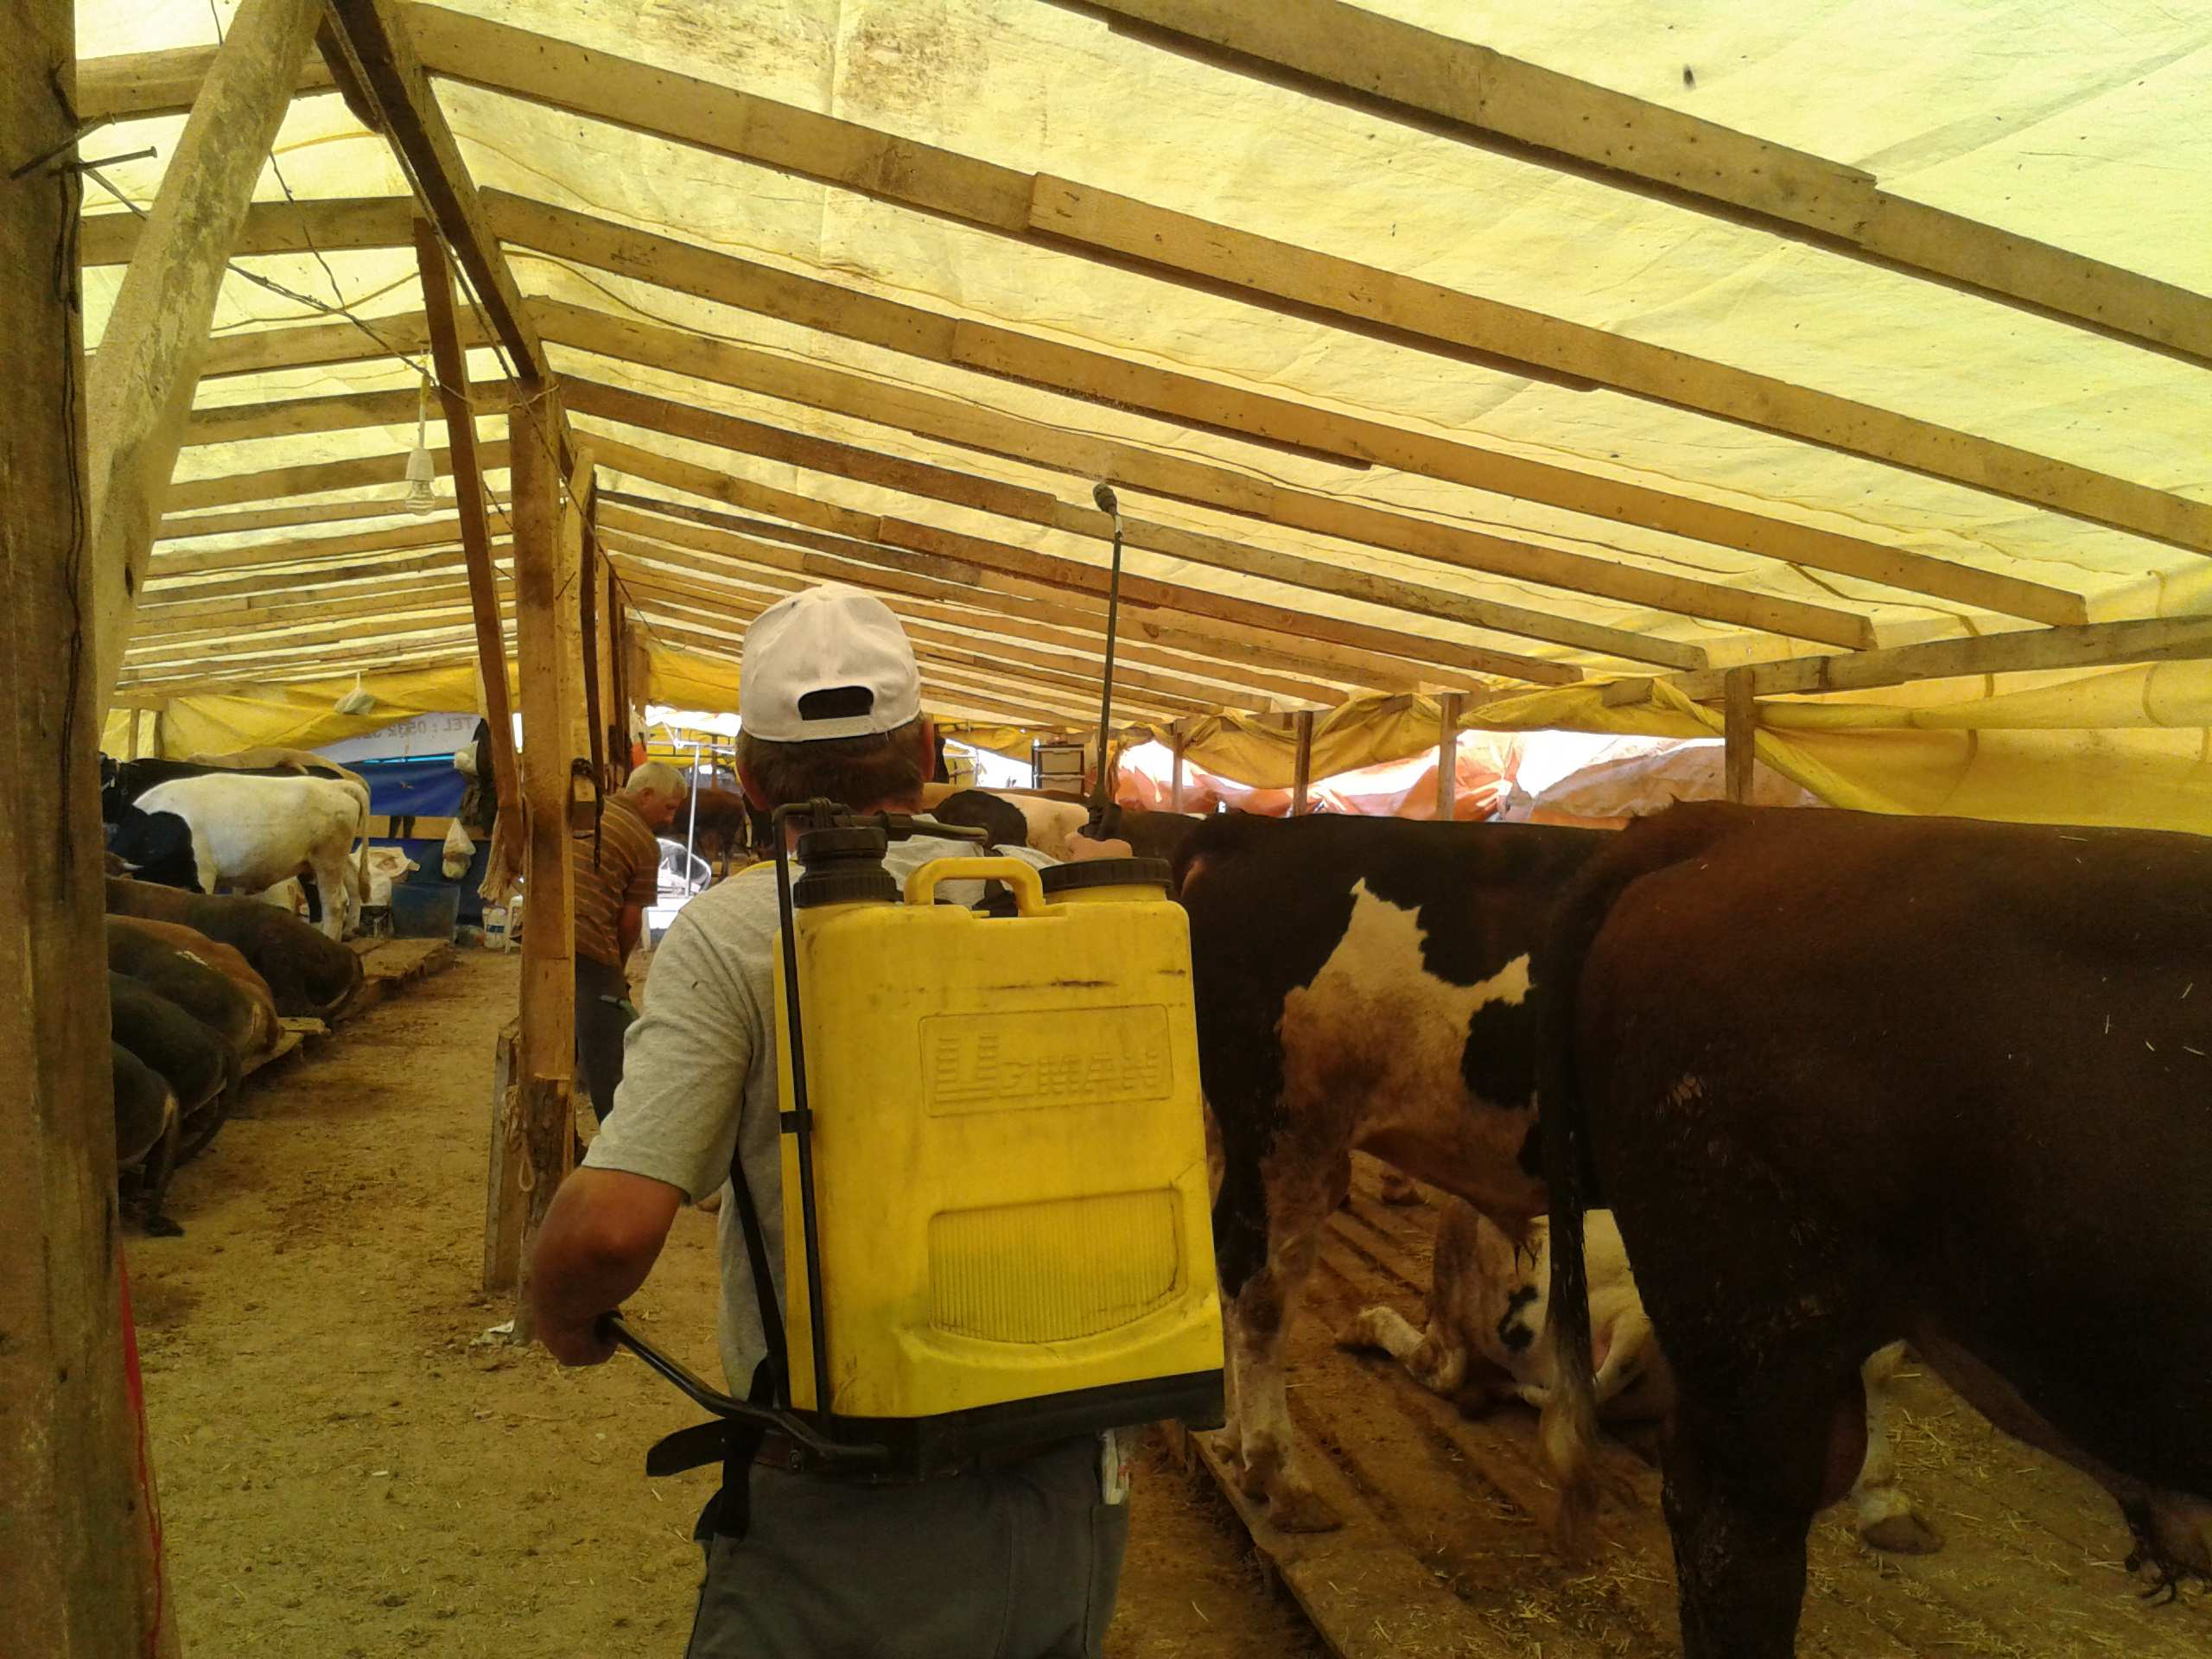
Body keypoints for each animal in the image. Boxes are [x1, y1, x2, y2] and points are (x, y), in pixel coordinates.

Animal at [137, 779, 369, 942]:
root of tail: (336, 784)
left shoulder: (202, 872)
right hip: (324, 860)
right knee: (350, 882)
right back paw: (347, 932)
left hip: (328, 857)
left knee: (335, 904)